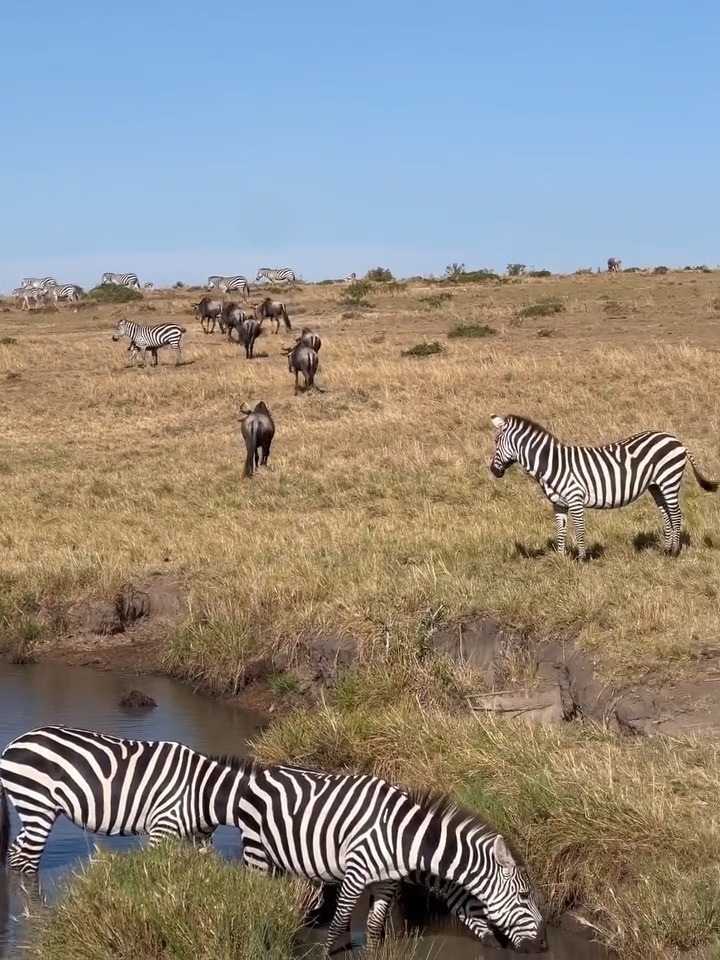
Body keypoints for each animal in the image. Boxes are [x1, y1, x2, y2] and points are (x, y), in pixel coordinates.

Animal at [0, 725, 255, 875]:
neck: (202, 792)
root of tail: (12, 745)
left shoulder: (201, 839)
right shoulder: (162, 828)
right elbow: (155, 874)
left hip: (35, 809)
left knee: (15, 856)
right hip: (37, 806)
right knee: (26, 863)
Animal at [234, 763, 546, 955]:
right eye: (524, 895)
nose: (544, 943)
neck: (404, 840)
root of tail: (265, 772)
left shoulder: (386, 881)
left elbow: (374, 926)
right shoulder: (355, 875)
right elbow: (338, 924)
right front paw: (324, 954)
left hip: (280, 860)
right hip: (256, 852)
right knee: (254, 897)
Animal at [489, 414, 719, 559]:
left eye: (496, 441)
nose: (493, 471)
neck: (553, 463)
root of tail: (676, 440)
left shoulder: (575, 498)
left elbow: (579, 530)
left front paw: (582, 559)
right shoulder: (559, 503)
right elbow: (560, 531)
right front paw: (560, 559)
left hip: (669, 480)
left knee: (676, 514)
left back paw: (675, 553)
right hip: (656, 486)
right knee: (667, 514)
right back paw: (666, 550)